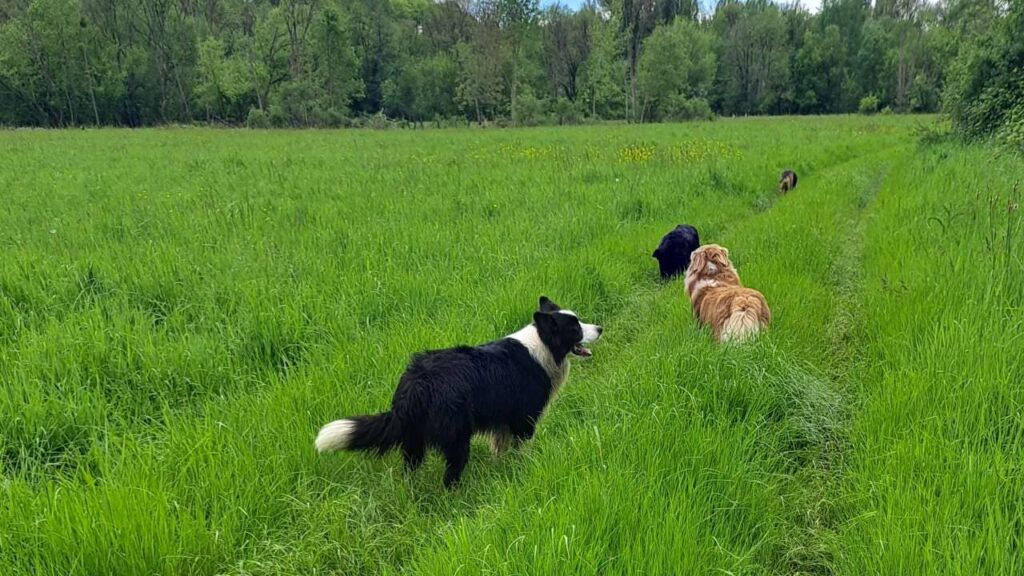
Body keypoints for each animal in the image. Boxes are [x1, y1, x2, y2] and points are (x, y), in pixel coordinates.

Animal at [313, 295, 598, 483]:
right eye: (575, 328)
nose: (600, 328)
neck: (543, 344)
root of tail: (417, 382)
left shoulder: (503, 422)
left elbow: (500, 449)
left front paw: (502, 469)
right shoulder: (523, 420)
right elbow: (521, 450)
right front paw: (522, 469)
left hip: (414, 439)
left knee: (410, 469)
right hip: (457, 436)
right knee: (451, 475)